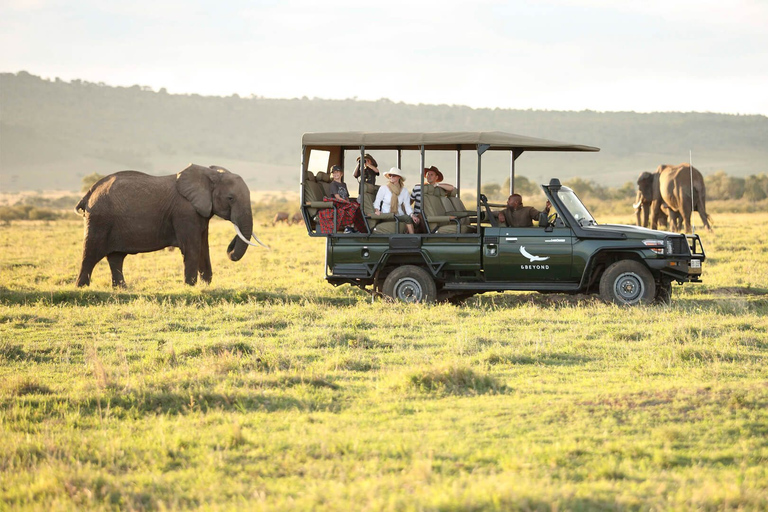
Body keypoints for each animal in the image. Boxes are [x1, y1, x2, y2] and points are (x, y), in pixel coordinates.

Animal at [74, 166, 268, 290]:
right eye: (230, 198)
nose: (231, 245)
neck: (210, 174)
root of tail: (89, 193)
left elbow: (203, 246)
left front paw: (206, 285)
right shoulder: (185, 212)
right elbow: (193, 247)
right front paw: (190, 287)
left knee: (116, 257)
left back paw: (122, 289)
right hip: (99, 220)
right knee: (90, 253)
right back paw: (82, 287)